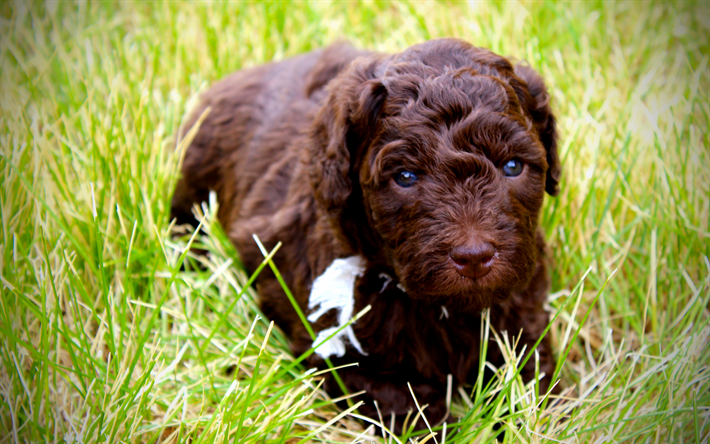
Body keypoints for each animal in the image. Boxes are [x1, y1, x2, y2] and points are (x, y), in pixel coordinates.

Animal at [171, 39, 560, 434]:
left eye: (512, 166)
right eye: (405, 176)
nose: (474, 257)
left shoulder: (525, 316)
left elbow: (536, 380)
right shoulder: (340, 355)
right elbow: (411, 407)